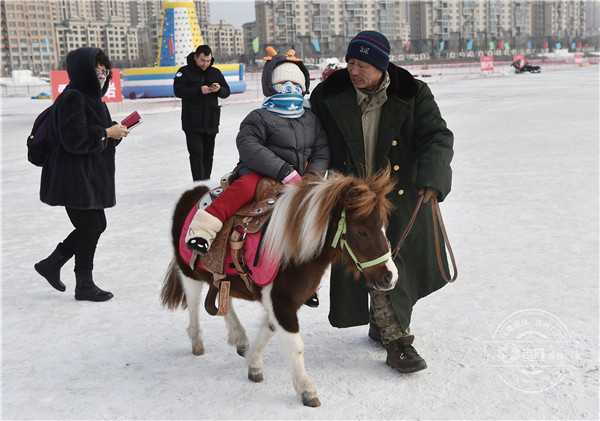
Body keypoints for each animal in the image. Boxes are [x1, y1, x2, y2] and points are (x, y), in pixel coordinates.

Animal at [162, 168, 400, 406]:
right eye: (362, 232)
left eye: (384, 226)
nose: (390, 277)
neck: (294, 249)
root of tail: (192, 192)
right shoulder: (281, 302)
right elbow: (295, 346)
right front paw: (306, 390)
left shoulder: (284, 302)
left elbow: (269, 329)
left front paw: (254, 364)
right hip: (189, 274)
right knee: (193, 305)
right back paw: (197, 342)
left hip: (219, 277)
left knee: (223, 301)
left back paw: (240, 338)